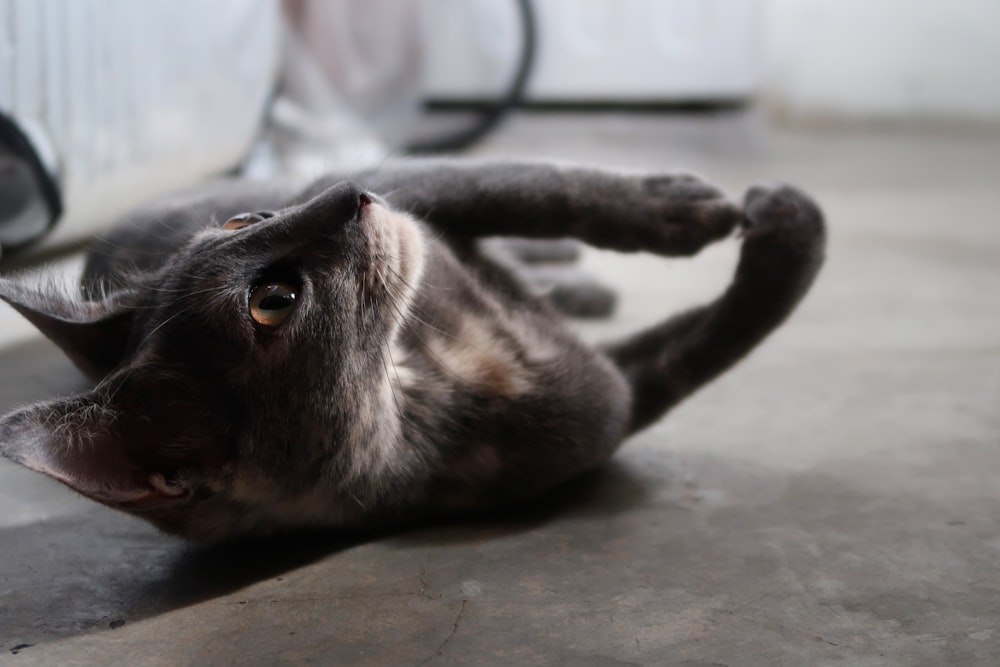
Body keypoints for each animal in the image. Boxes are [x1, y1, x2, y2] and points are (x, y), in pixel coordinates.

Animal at [0, 162, 824, 544]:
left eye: (243, 222)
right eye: (273, 300)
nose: (347, 190)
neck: (416, 368)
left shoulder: (430, 198)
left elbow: (525, 185)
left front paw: (675, 204)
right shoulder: (607, 396)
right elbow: (719, 338)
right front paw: (783, 225)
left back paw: (580, 278)